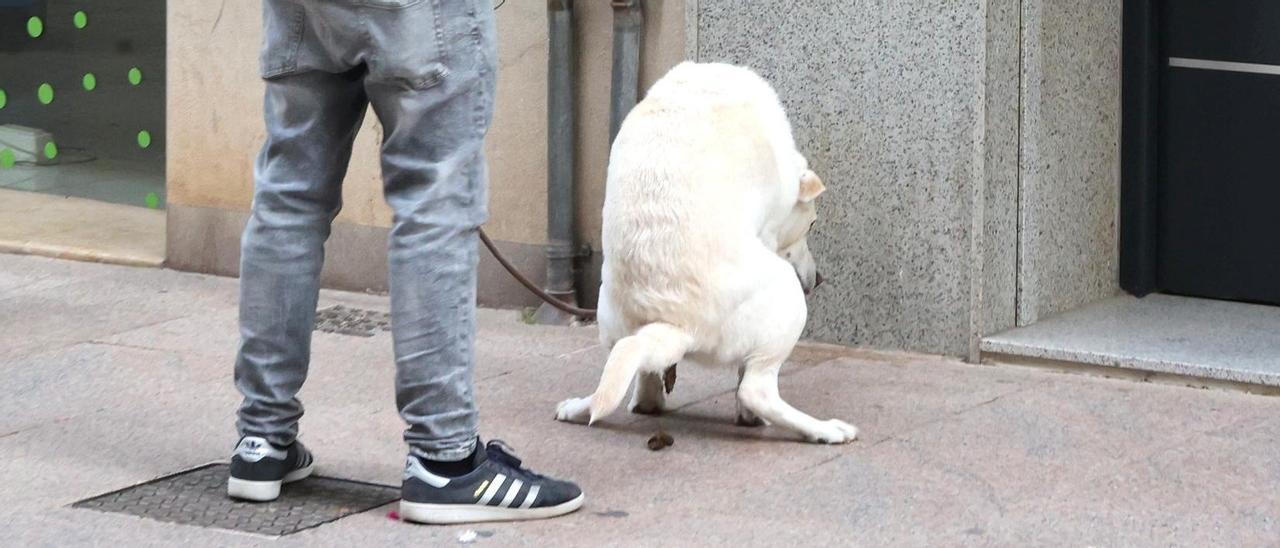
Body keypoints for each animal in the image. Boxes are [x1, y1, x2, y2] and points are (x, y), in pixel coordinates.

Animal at [552, 62, 860, 443]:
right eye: (812, 225)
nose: (818, 280)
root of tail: (676, 322)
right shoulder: (769, 231)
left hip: (611, 318)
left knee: (637, 374)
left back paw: (589, 407)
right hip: (786, 296)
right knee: (755, 390)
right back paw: (822, 429)